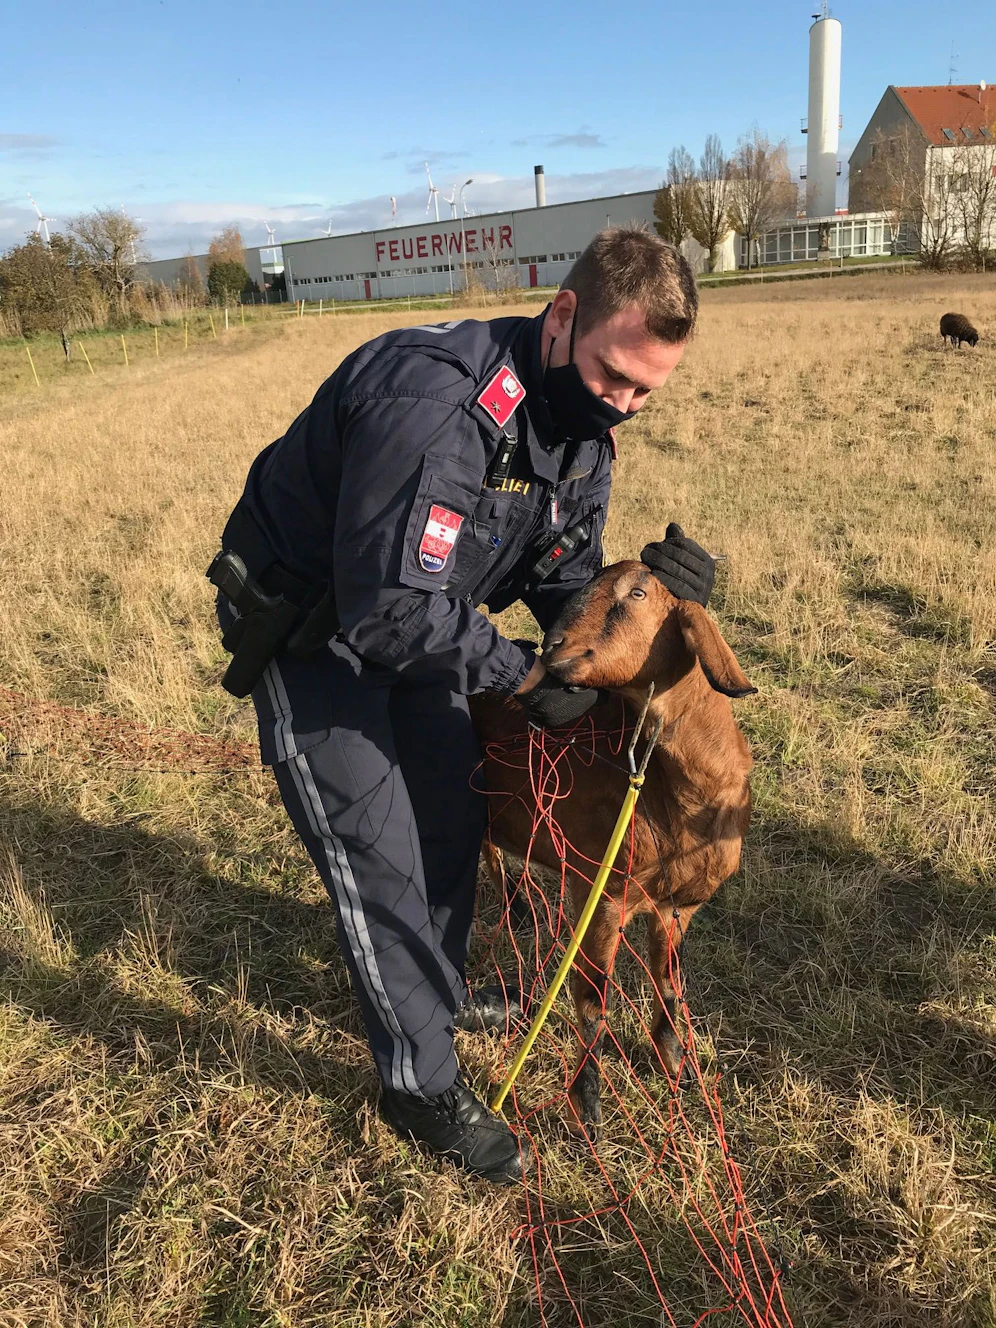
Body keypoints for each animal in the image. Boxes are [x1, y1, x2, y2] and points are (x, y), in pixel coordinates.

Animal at [470, 560, 755, 1136]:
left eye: (638, 593)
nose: (551, 649)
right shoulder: (600, 895)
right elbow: (591, 997)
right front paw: (588, 1106)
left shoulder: (676, 908)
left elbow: (669, 986)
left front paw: (676, 1067)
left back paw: (518, 913)